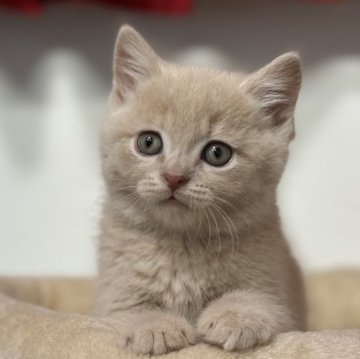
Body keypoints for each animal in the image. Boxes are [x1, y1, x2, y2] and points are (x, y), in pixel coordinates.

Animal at [93, 25, 306, 358]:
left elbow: (257, 299)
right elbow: (132, 309)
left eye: (217, 153)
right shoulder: (112, 295)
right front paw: (155, 327)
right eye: (148, 142)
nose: (174, 176)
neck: (182, 247)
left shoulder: (278, 292)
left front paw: (235, 317)